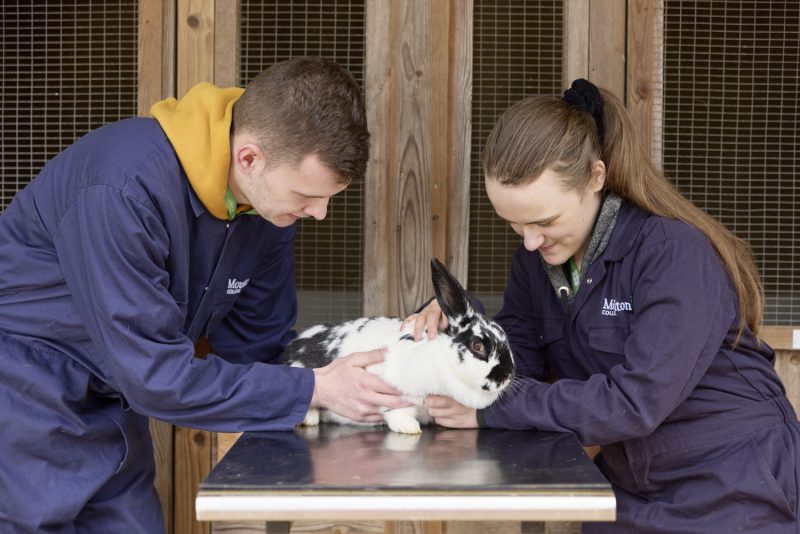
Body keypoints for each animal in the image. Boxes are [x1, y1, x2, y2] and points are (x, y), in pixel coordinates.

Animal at [284, 258, 516, 436]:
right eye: (477, 346)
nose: (506, 375)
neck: (442, 361)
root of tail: (292, 347)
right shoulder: (392, 387)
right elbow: (397, 411)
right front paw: (410, 428)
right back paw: (309, 418)